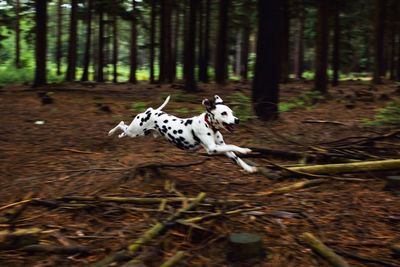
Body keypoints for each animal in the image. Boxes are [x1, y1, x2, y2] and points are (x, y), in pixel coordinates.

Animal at [108, 94, 258, 174]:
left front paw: (249, 168)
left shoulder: (222, 147)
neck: (209, 125)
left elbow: (236, 158)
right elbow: (234, 146)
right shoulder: (212, 149)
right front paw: (244, 149)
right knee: (121, 123)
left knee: (123, 128)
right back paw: (111, 132)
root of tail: (150, 110)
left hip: (139, 133)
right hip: (134, 131)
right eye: (224, 113)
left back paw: (118, 135)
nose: (237, 120)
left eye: (231, 112)